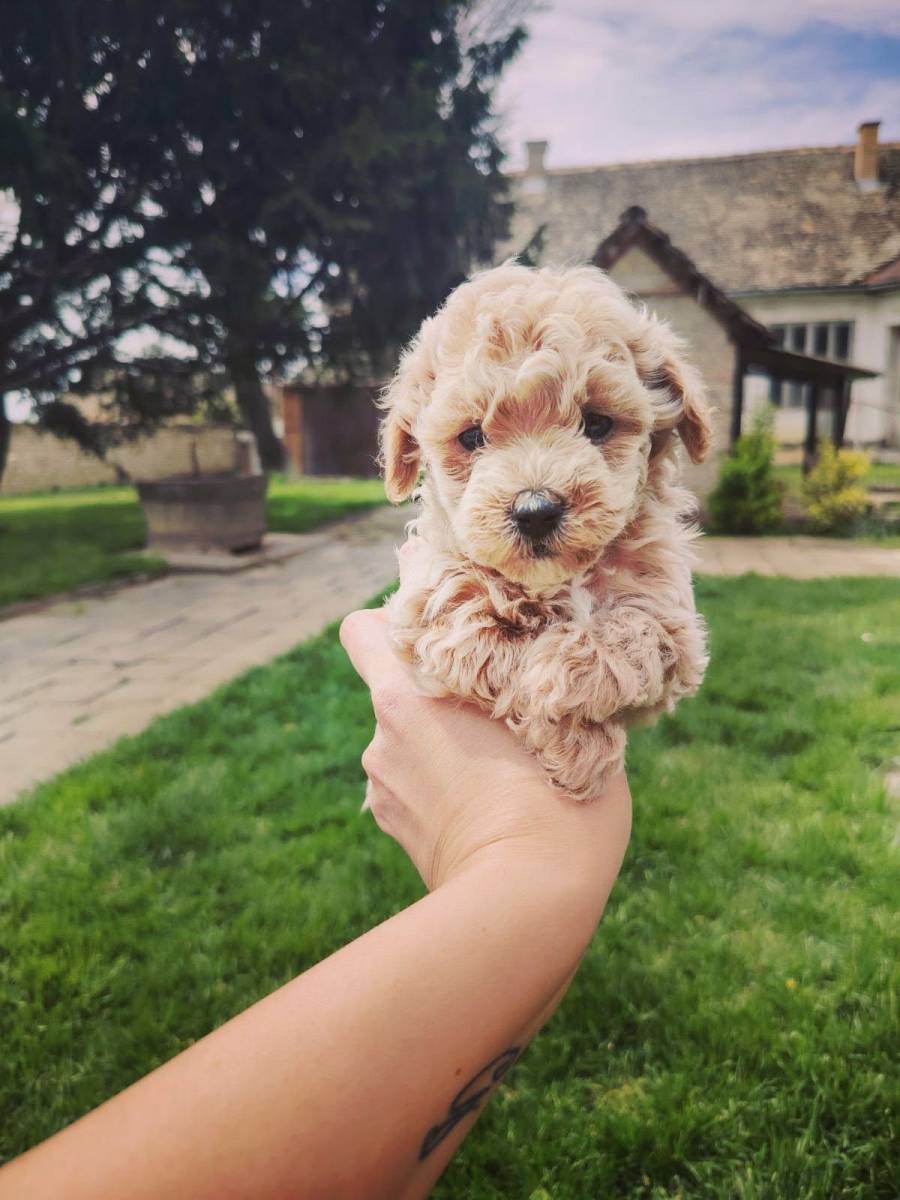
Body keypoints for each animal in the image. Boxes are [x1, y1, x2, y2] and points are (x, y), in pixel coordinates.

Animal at [378, 262, 711, 802]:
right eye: (472, 437)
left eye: (596, 424)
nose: (535, 510)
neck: (557, 581)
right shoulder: (427, 603)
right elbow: (481, 632)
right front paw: (571, 742)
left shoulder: (675, 625)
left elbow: (631, 632)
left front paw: (564, 696)